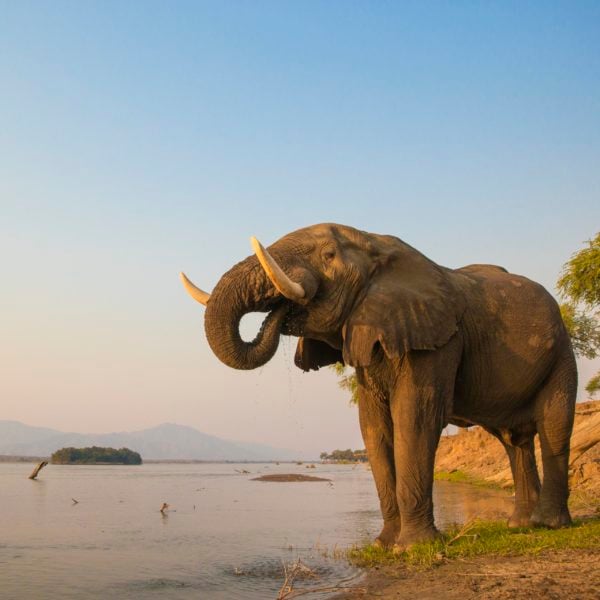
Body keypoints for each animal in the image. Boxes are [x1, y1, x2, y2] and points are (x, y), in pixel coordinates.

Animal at [182, 221, 576, 548]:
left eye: (328, 255)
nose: (281, 312)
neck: (377, 245)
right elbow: (374, 427)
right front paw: (384, 545)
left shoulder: (437, 339)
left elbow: (415, 418)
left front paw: (413, 548)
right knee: (514, 440)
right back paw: (520, 526)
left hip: (562, 353)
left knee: (553, 427)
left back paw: (550, 524)